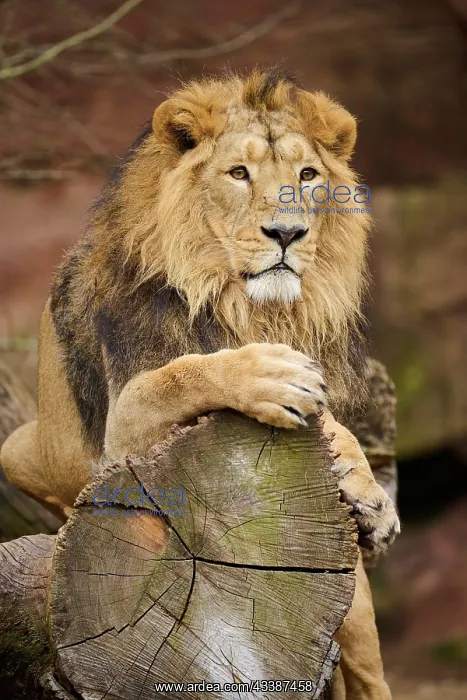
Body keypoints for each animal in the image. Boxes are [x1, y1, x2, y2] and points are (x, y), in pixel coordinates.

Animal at [1, 68, 399, 699]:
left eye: (307, 176)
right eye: (239, 173)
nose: (287, 233)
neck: (245, 305)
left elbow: (332, 421)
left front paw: (368, 493)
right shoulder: (122, 440)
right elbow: (181, 372)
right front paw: (267, 375)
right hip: (20, 448)